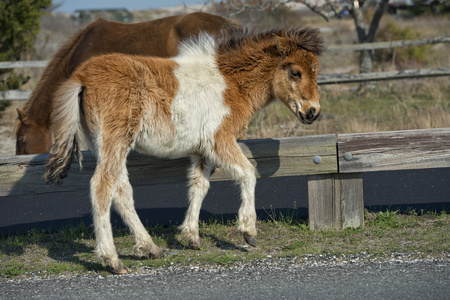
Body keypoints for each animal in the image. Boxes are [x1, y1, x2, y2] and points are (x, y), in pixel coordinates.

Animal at [44, 27, 324, 274]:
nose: (313, 112)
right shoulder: (220, 140)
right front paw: (248, 231)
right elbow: (248, 173)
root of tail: (81, 76)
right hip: (115, 140)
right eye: (296, 72)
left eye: (316, 70)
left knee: (121, 191)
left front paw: (191, 236)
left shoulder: (203, 151)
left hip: (107, 144)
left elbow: (199, 186)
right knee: (102, 186)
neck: (231, 83)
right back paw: (112, 260)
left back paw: (150, 248)